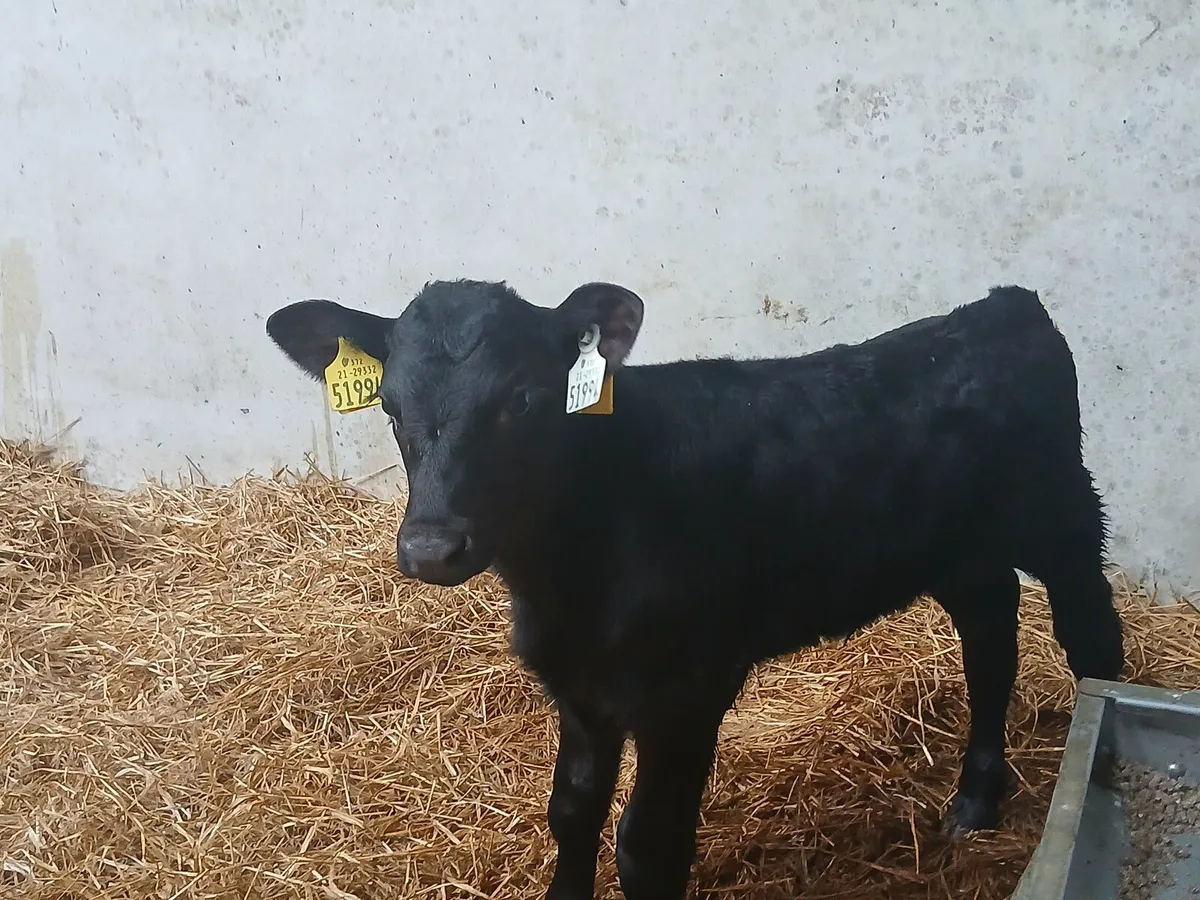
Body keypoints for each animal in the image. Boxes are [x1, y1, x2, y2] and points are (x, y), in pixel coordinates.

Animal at [266, 280, 1124, 900]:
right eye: (389, 404)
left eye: (523, 400)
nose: (431, 547)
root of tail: (1003, 306)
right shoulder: (579, 686)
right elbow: (570, 810)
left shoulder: (685, 692)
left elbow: (647, 846)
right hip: (960, 550)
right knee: (991, 640)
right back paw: (976, 801)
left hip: (1063, 514)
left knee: (1092, 641)